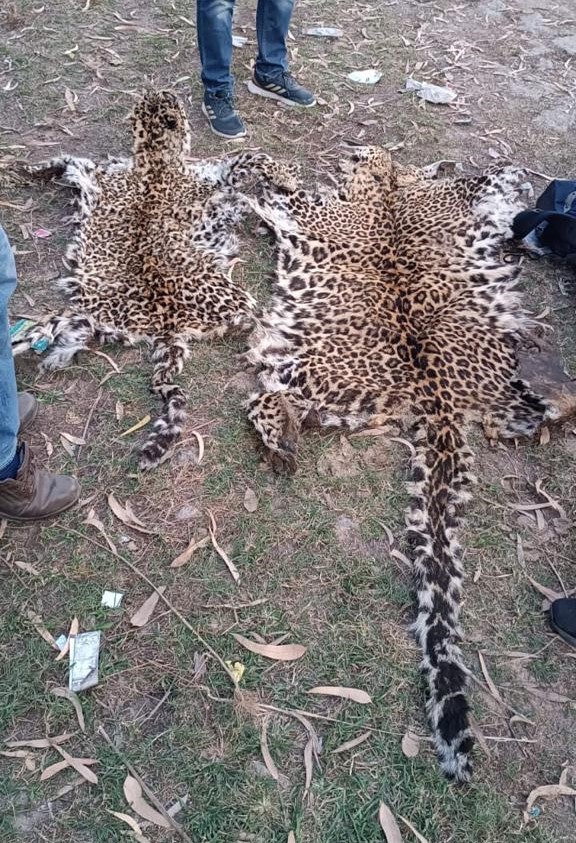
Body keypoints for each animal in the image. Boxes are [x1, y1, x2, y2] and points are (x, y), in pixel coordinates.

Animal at [11, 90, 299, 468]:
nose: (162, 92)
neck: (153, 158)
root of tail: (165, 326)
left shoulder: (94, 174)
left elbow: (60, 162)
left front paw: (21, 169)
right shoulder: (216, 177)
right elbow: (251, 157)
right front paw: (285, 179)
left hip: (76, 318)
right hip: (246, 306)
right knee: (265, 340)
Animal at [242, 145, 557, 782]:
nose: (350, 155)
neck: (388, 187)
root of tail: (435, 400)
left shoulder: (322, 212)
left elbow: (289, 191)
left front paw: (259, 172)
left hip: (307, 372)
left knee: (263, 398)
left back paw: (277, 443)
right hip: (472, 396)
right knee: (534, 419)